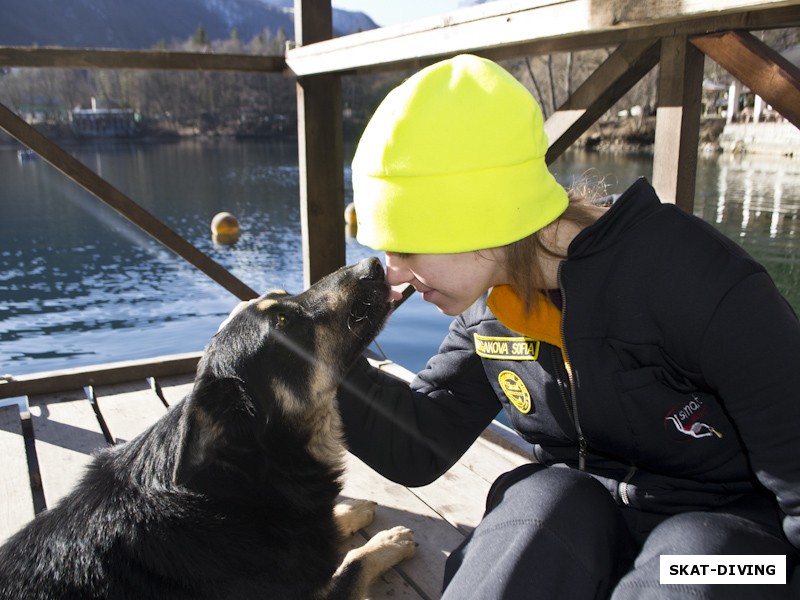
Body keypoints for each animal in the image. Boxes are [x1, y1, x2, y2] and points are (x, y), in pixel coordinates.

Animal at [0, 258, 412, 600]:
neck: (244, 480)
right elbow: (353, 563)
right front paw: (388, 542)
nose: (375, 264)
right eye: (281, 322)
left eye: (283, 296)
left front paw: (352, 510)